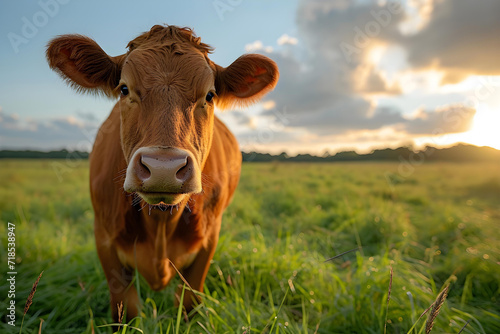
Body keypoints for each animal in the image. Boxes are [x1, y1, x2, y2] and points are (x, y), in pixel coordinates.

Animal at [46, 24, 278, 320]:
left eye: (209, 95)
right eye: (124, 89)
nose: (163, 168)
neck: (159, 223)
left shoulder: (209, 239)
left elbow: (189, 304)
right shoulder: (104, 239)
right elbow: (126, 311)